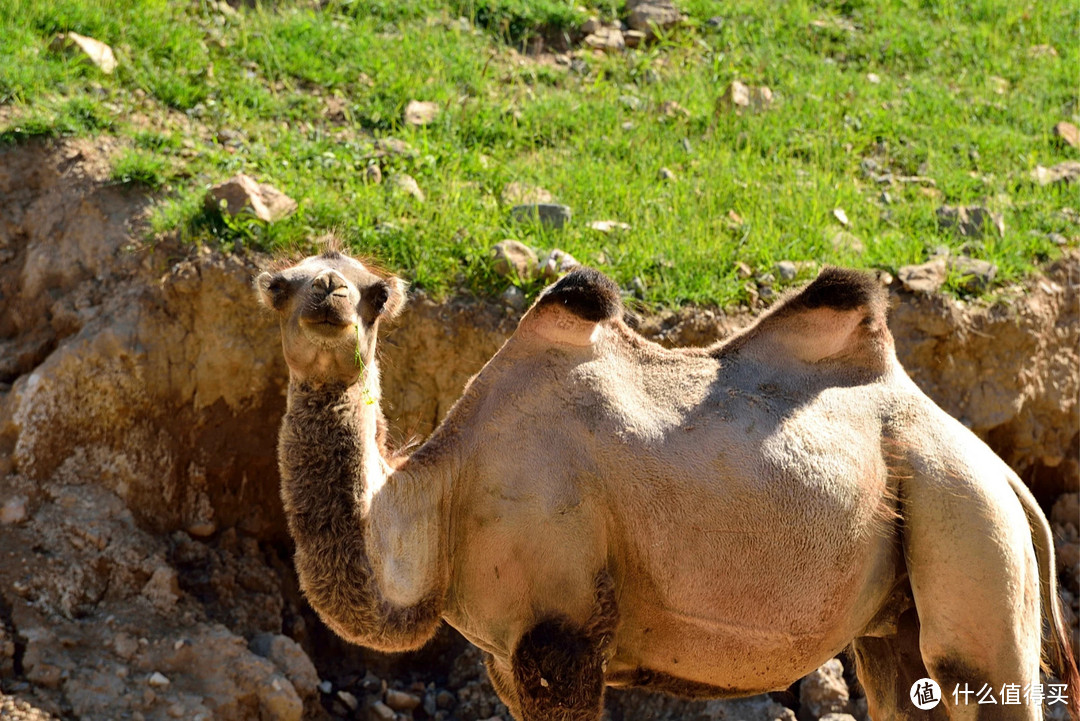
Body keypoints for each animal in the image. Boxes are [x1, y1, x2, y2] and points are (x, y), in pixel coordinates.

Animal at [257, 248, 1075, 721]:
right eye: (282, 285)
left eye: (371, 292)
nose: (328, 295)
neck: (444, 498)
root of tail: (1003, 471)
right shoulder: (504, 656)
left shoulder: (561, 627)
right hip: (900, 601)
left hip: (964, 514)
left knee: (980, 668)